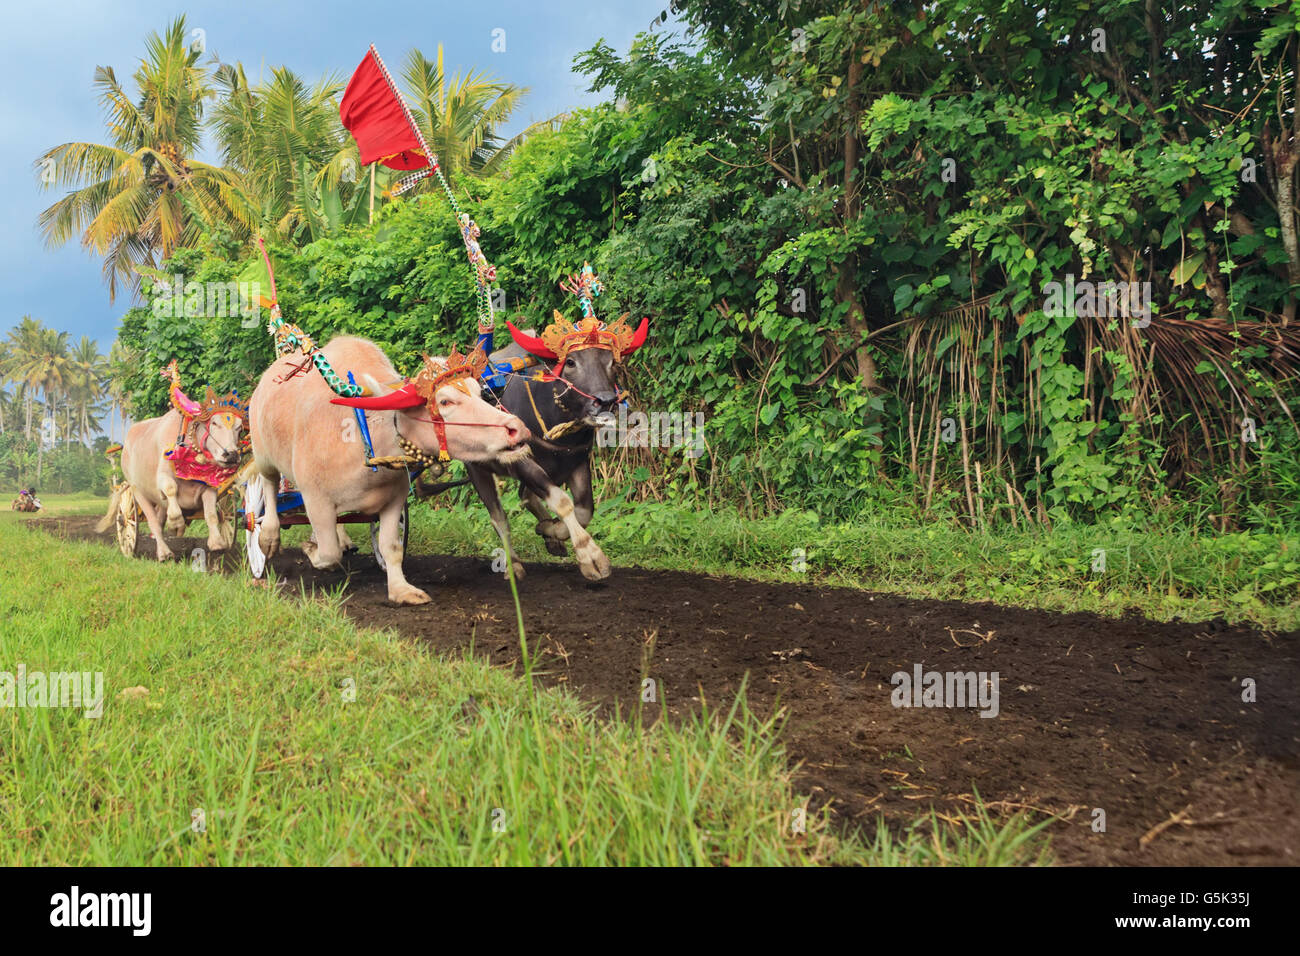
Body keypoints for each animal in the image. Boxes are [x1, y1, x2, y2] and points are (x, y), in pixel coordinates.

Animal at [245, 335, 530, 606]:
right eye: (445, 401)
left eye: (479, 393)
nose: (517, 428)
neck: (365, 438)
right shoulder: (315, 498)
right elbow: (328, 553)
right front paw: (309, 550)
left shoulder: (394, 499)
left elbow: (390, 546)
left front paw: (401, 590)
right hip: (263, 454)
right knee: (267, 489)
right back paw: (267, 536)